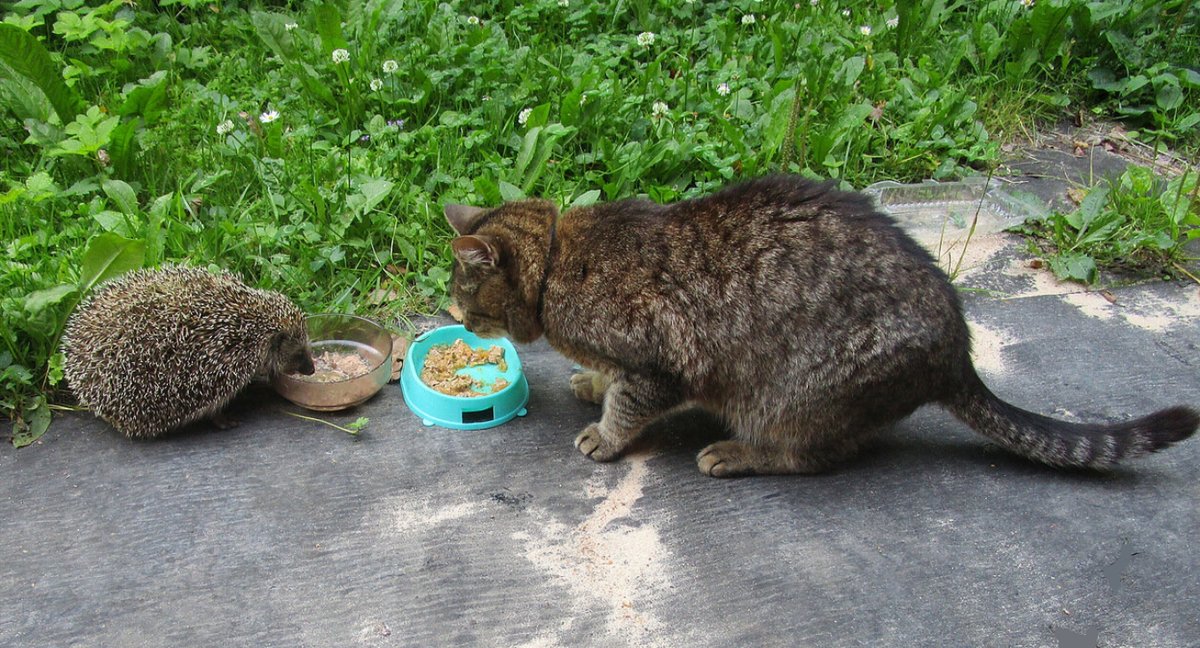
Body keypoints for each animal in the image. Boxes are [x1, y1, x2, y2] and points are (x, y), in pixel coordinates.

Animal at [444, 176, 1200, 475]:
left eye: (466, 305)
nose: (462, 324)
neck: (559, 266)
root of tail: (958, 350)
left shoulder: (664, 363)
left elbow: (631, 403)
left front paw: (605, 431)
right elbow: (610, 380)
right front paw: (590, 382)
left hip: (795, 394)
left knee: (818, 455)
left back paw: (737, 453)